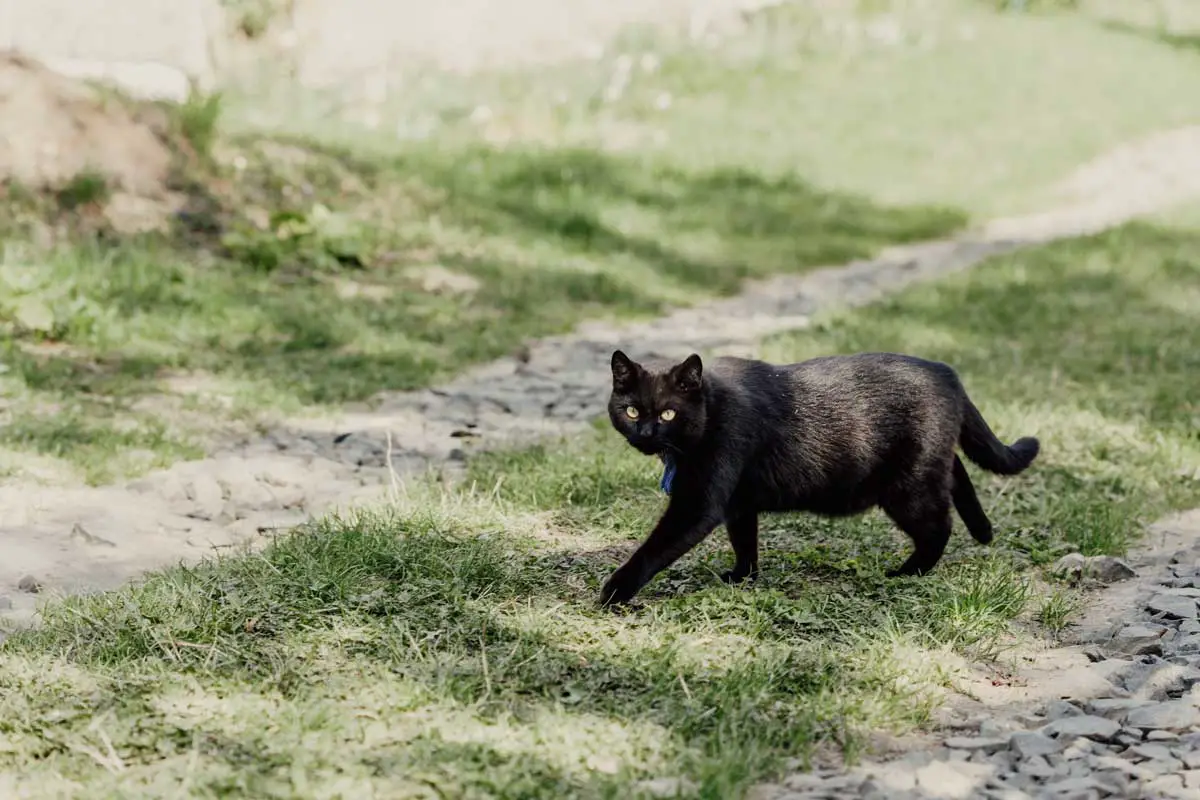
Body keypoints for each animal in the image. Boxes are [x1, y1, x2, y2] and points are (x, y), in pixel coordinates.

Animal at [604, 350, 1036, 606]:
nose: (645, 433)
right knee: (957, 471)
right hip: (926, 467)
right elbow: (744, 540)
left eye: (668, 414)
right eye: (631, 411)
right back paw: (982, 530)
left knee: (938, 527)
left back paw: (907, 572)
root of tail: (946, 372)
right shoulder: (738, 502)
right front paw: (744, 577)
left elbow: (656, 547)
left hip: (909, 487)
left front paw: (615, 589)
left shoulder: (699, 503)